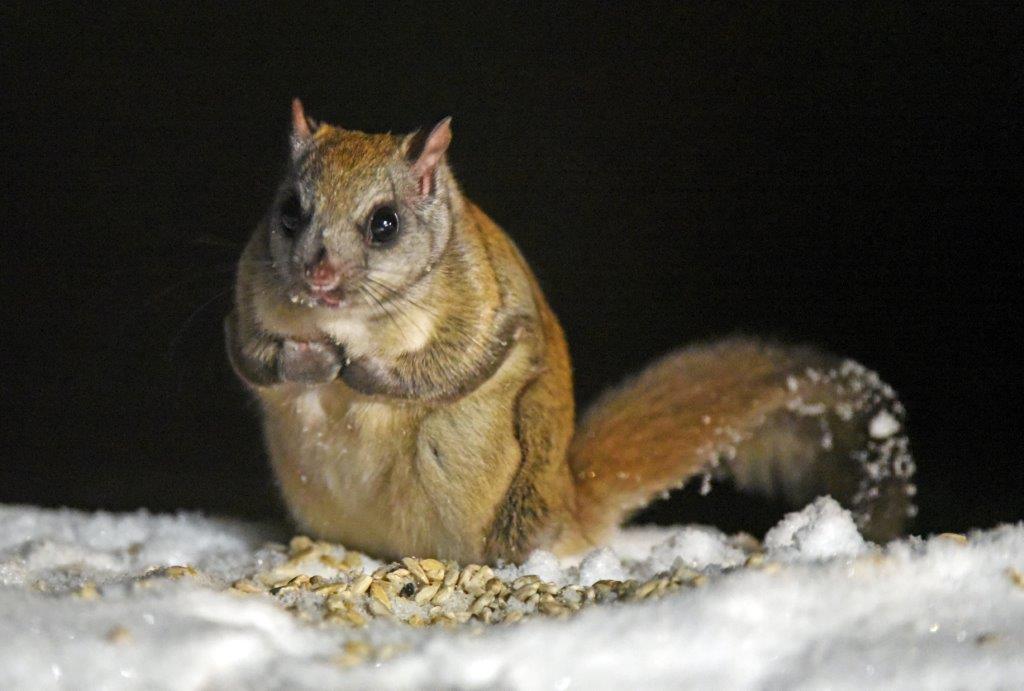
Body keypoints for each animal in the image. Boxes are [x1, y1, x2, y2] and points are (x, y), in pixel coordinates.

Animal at [226, 99, 916, 564]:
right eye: (289, 212)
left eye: (385, 224)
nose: (317, 275)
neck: (348, 319)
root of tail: (564, 503)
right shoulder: (246, 297)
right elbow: (251, 356)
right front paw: (306, 362)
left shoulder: (485, 303)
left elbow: (454, 364)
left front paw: (359, 370)